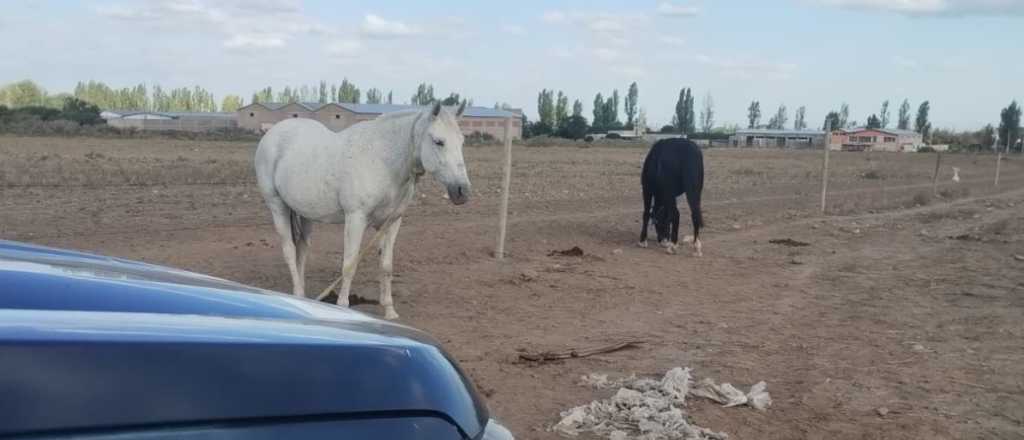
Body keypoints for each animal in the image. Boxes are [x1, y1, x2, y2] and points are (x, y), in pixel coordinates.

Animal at [254, 102, 471, 319]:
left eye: (461, 141)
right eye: (439, 141)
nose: (462, 191)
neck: (382, 160)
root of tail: (272, 132)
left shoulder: (391, 223)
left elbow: (386, 266)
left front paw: (390, 311)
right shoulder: (355, 219)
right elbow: (349, 264)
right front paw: (343, 307)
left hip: (304, 212)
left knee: (302, 249)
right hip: (277, 206)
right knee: (289, 250)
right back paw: (298, 293)